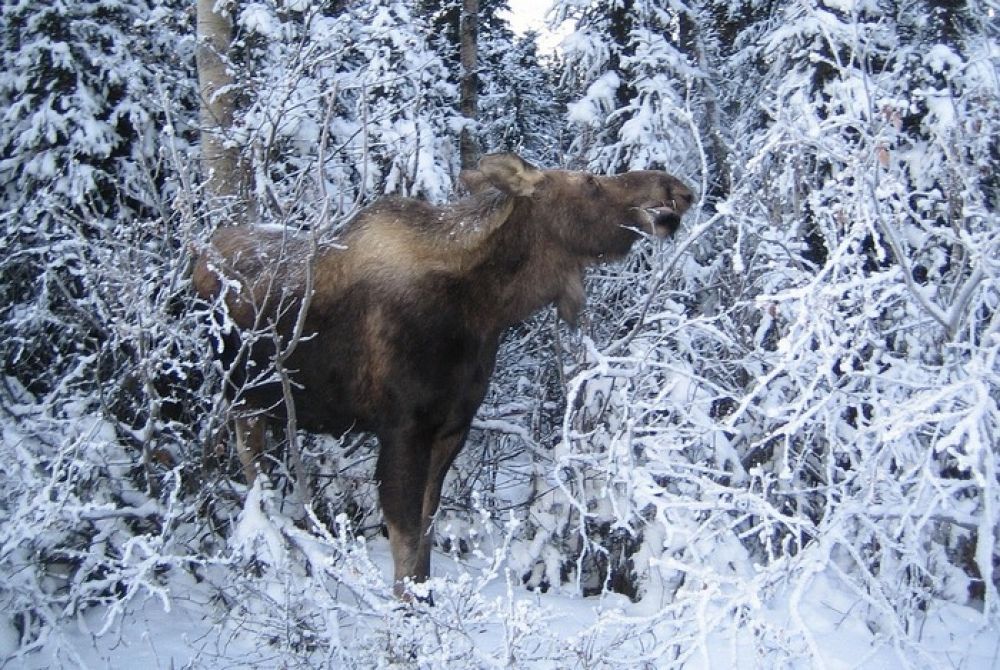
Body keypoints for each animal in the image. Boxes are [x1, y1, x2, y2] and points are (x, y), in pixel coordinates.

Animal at [191, 155, 692, 600]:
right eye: (589, 181)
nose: (678, 188)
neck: (488, 308)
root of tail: (200, 255)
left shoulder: (453, 427)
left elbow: (428, 530)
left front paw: (426, 600)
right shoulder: (402, 427)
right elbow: (405, 533)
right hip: (241, 400)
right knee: (253, 474)